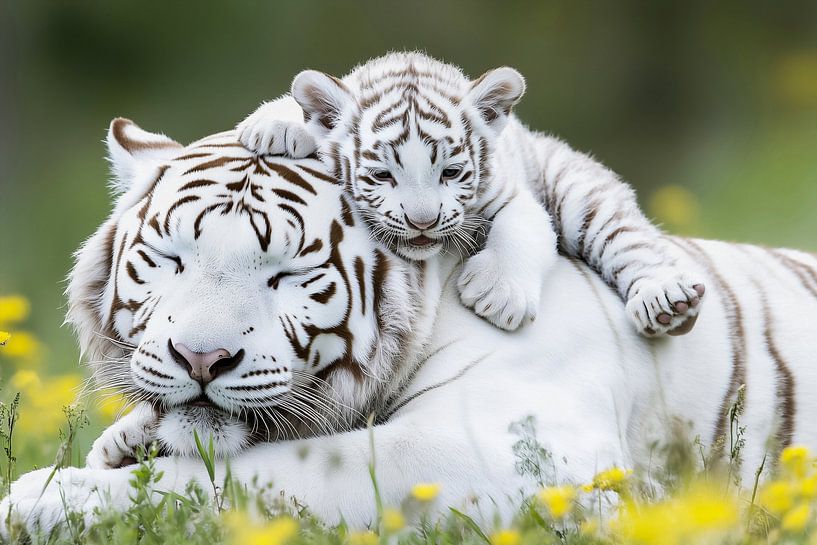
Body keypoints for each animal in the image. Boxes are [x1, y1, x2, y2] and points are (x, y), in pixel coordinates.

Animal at [4, 119, 817, 538]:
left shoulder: (512, 448)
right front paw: (119, 446)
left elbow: (276, 470)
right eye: (172, 258)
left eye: (285, 274)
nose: (202, 358)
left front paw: (45, 497)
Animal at [237, 51, 706, 336]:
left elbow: (519, 231)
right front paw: (275, 126)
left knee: (631, 241)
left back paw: (666, 303)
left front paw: (500, 295)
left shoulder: (514, 197)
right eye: (382, 175)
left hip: (580, 196)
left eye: (451, 172)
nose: (421, 222)